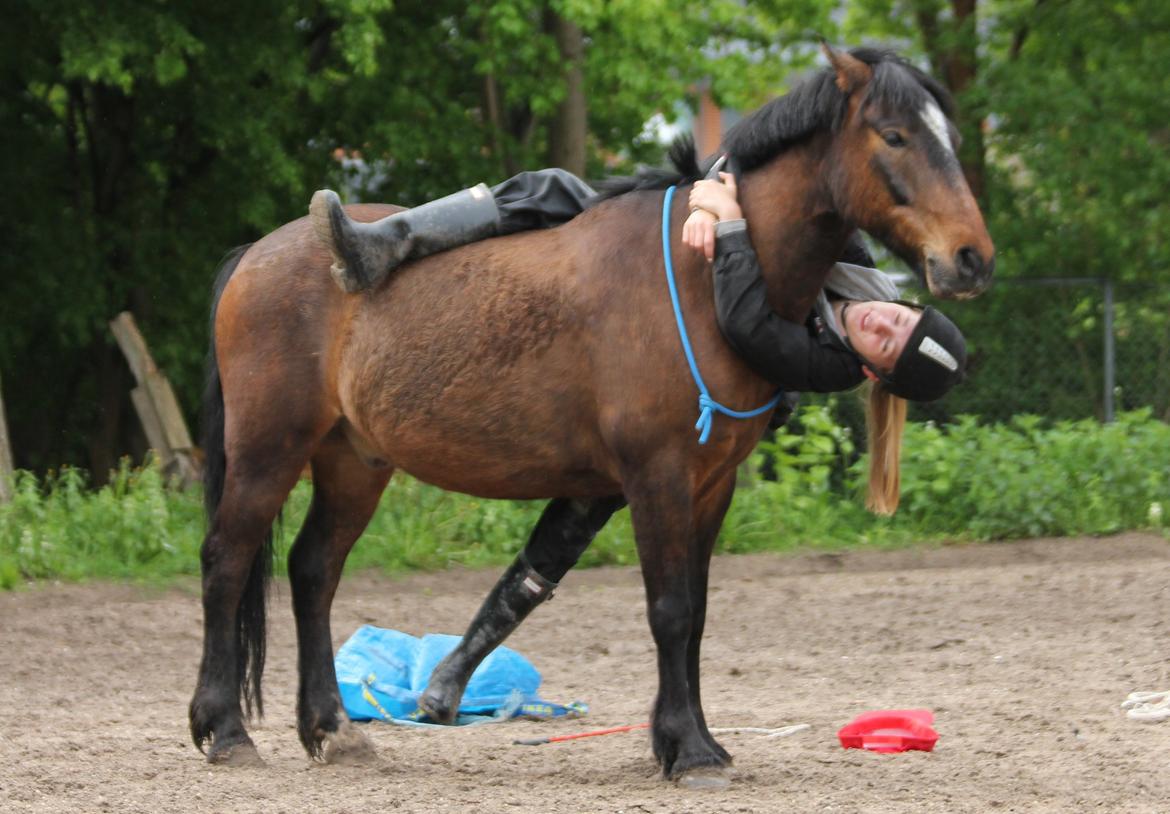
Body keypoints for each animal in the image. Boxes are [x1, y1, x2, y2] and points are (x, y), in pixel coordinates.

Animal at [187, 44, 992, 781]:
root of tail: (255, 255)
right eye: (894, 135)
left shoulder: (710, 487)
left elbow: (695, 616)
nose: (971, 258)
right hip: (270, 449)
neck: (708, 279)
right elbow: (670, 609)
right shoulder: (657, 477)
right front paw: (688, 750)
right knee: (227, 560)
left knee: (313, 571)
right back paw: (225, 730)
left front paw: (689, 740)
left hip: (353, 461)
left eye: (947, 135)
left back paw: (331, 729)